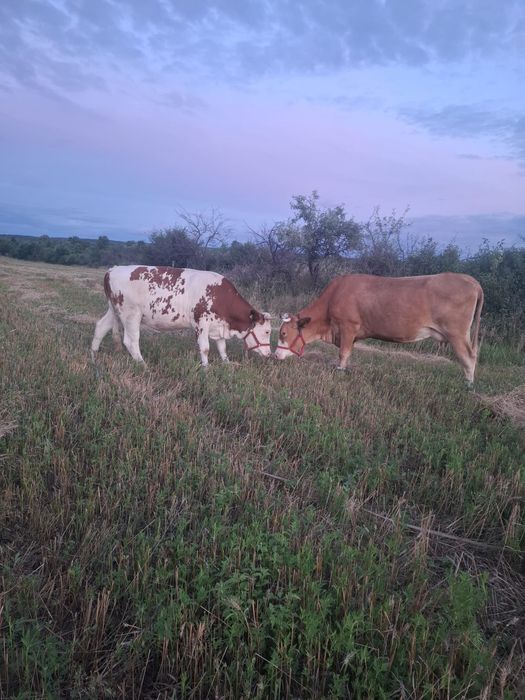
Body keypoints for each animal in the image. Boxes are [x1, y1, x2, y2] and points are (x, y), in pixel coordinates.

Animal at [91, 265, 272, 366]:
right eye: (267, 331)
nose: (269, 354)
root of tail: (113, 269)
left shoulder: (219, 325)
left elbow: (222, 347)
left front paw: (227, 363)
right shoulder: (201, 323)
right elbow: (205, 348)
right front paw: (206, 367)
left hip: (114, 309)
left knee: (101, 326)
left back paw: (93, 355)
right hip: (131, 314)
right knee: (131, 340)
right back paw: (143, 364)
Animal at [275, 273, 484, 384]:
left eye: (283, 333)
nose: (275, 355)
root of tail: (470, 280)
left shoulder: (348, 326)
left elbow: (343, 352)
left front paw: (340, 370)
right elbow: (348, 352)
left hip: (457, 333)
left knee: (468, 356)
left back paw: (468, 385)